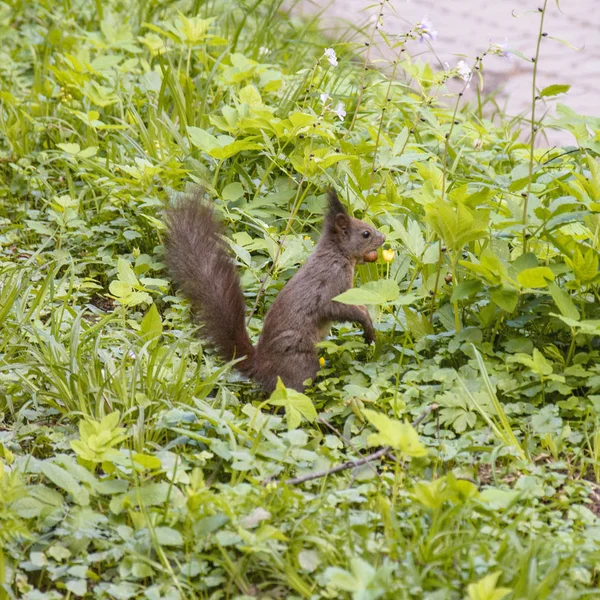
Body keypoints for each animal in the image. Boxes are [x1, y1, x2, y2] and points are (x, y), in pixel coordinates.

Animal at [165, 189, 384, 394]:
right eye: (366, 234)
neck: (337, 254)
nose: (383, 237)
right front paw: (367, 323)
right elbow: (337, 308)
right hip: (300, 362)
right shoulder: (331, 283)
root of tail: (261, 367)